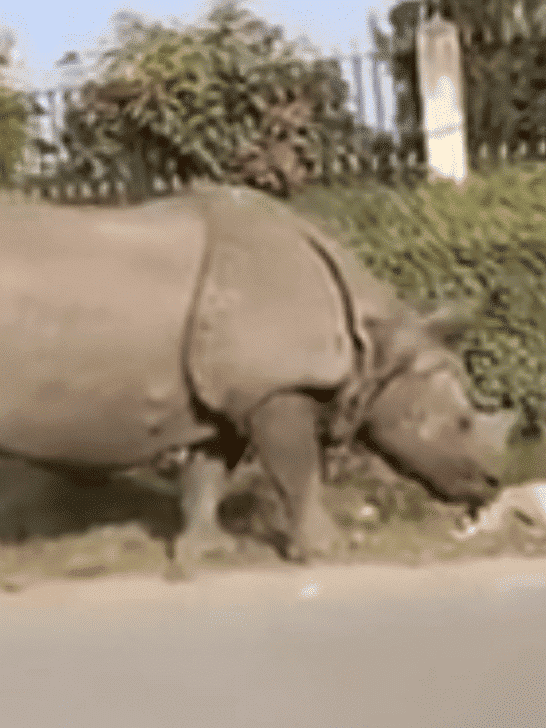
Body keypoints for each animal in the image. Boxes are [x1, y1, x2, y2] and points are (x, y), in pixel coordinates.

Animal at [0, 184, 519, 575]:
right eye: (460, 422)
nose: (493, 483)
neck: (374, 346)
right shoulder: (275, 387)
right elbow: (298, 471)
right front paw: (328, 551)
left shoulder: (227, 393)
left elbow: (209, 472)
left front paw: (207, 554)